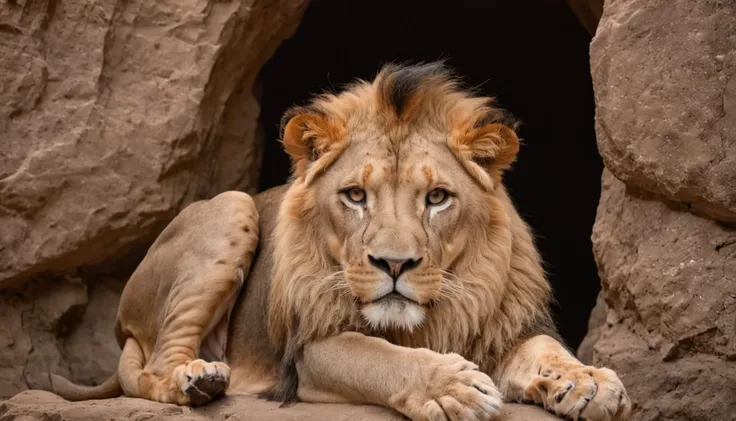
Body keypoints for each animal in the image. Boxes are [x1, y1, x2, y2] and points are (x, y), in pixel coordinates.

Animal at [43, 62, 632, 420]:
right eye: (354, 195)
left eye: (437, 197)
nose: (394, 264)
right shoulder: (312, 348)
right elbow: (381, 357)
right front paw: (452, 386)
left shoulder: (507, 325)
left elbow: (547, 350)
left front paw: (589, 381)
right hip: (231, 206)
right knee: (153, 368)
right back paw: (196, 380)